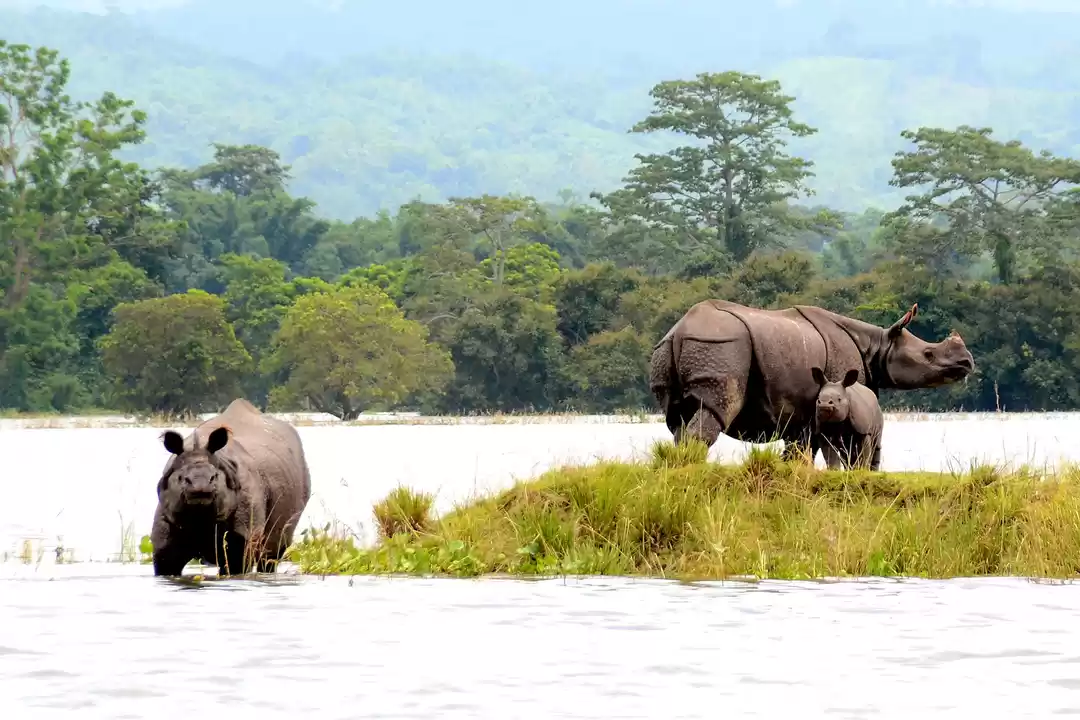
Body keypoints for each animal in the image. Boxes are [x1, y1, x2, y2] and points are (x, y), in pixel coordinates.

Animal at [150, 398, 312, 577]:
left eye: (215, 476)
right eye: (181, 478)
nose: (200, 488)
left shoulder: (244, 536)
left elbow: (236, 562)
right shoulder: (166, 525)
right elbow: (166, 562)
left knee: (271, 554)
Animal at [649, 300, 974, 460]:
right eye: (929, 354)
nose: (967, 362)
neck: (877, 345)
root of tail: (679, 330)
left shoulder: (801, 412)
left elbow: (798, 450)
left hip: (669, 349)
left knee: (676, 419)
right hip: (722, 346)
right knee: (718, 407)